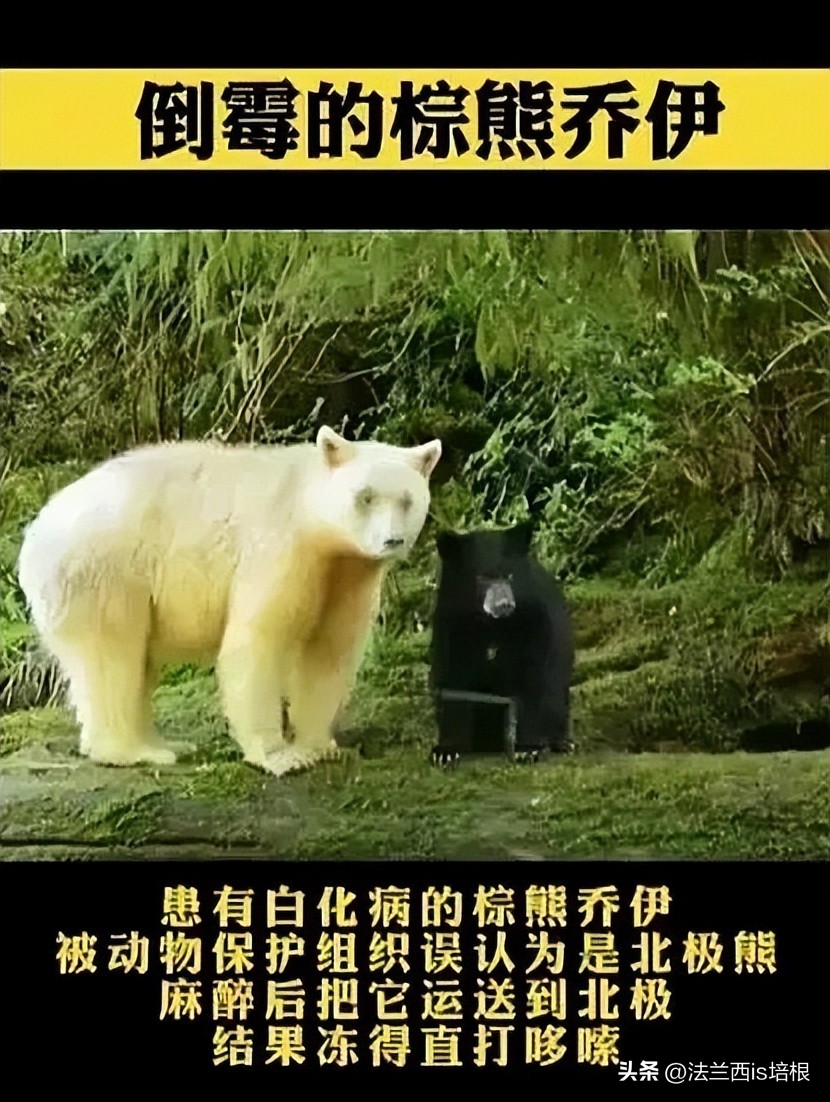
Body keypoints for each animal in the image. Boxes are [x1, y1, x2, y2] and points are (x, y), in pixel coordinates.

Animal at [17, 426, 441, 777]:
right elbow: (258, 641)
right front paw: (280, 756)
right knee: (112, 657)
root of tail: (33, 535)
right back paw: (136, 751)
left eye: (407, 500)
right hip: (104, 571)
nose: (391, 540)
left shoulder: (350, 575)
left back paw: (164, 742)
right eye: (365, 497)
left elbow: (328, 650)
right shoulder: (279, 548)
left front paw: (321, 745)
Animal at [430, 523, 574, 763]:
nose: (505, 604)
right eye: (481, 577)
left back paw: (560, 742)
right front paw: (445, 752)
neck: (491, 624)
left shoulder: (534, 626)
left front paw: (526, 749)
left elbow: (531, 681)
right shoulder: (452, 628)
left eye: (510, 575)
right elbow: (454, 683)